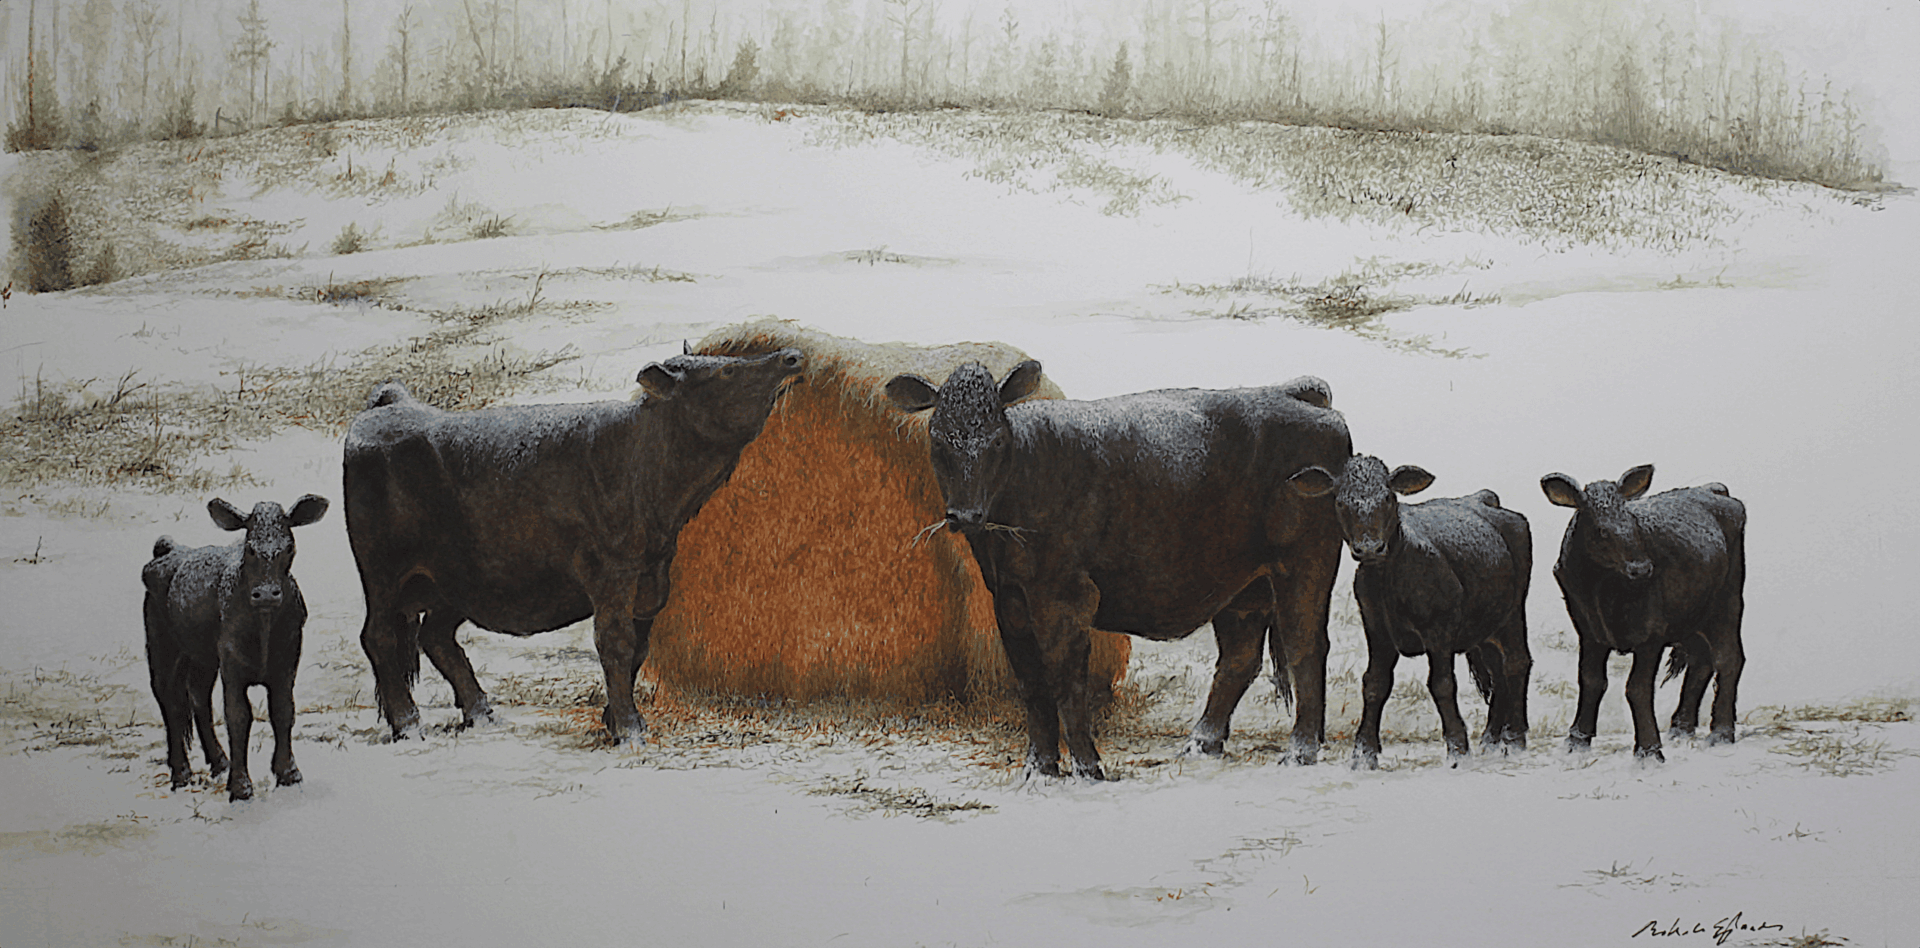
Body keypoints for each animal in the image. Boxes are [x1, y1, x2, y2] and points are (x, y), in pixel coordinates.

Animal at [142, 495, 330, 801]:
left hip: (203, 658)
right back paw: (181, 773)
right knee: (169, 702)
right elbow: (239, 716)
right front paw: (241, 786)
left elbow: (283, 710)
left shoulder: (286, 663)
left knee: (198, 699)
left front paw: (288, 773)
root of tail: (170, 550)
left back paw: (219, 762)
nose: (266, 594)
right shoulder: (232, 667)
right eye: (249, 548)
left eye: (288, 547)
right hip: (162, 647)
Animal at [343, 346, 805, 744]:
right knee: (380, 637)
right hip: (383, 572)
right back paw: (408, 724)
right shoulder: (611, 574)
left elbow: (638, 648)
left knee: (435, 637)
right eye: (725, 371)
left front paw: (617, 718)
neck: (642, 464)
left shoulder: (651, 578)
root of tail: (391, 404)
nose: (791, 357)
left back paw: (482, 713)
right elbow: (615, 642)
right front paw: (628, 730)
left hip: (456, 581)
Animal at [885, 360, 1350, 780]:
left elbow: (1066, 680)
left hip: (1305, 564)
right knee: (1240, 657)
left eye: (998, 441)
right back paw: (1202, 743)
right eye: (937, 441)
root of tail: (1293, 392)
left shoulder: (1064, 597)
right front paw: (1040, 766)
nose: (965, 515)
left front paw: (1087, 765)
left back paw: (1301, 750)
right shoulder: (1010, 600)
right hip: (1242, 585)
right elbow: (1032, 684)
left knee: (1306, 647)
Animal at [1288, 457, 1531, 769]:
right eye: (1340, 502)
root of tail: (1483, 499)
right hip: (1486, 626)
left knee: (1516, 663)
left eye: (1388, 498)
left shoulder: (1440, 629)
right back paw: (1490, 740)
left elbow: (1441, 684)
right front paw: (1364, 753)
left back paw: (1515, 740)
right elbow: (1375, 683)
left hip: (1513, 611)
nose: (1370, 548)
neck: (1390, 577)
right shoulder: (1377, 628)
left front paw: (1458, 748)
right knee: (1498, 671)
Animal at [1540, 464, 1747, 762]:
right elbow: (1591, 680)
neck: (1601, 587)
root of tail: (1710, 489)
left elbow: (1636, 688)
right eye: (1602, 531)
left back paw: (1720, 733)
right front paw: (1577, 740)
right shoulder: (1589, 631)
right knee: (1701, 660)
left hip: (1727, 602)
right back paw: (1681, 728)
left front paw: (1649, 750)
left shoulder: (1650, 634)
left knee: (1728, 659)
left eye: (1632, 523)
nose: (1641, 568)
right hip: (1691, 613)